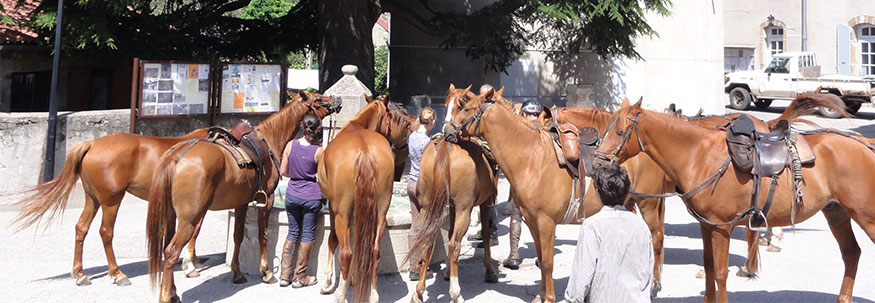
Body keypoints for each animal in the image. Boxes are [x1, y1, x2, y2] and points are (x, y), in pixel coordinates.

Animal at [145, 92, 340, 303]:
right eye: (318, 98)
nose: (337, 100)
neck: (270, 138)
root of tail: (175, 156)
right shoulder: (267, 199)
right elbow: (263, 234)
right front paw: (266, 272)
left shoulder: (241, 203)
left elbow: (238, 235)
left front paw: (237, 273)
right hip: (190, 219)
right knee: (172, 251)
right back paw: (166, 295)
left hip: (172, 215)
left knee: (167, 247)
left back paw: (172, 291)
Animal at [314, 95, 410, 303]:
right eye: (392, 117)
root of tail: (364, 152)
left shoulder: (335, 210)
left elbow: (333, 240)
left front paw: (329, 283)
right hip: (381, 212)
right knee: (374, 250)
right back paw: (373, 293)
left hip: (342, 214)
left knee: (346, 253)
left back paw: (340, 295)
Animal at [406, 85, 500, 303]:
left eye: (458, 105)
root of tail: (444, 147)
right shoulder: (483, 203)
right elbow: (484, 233)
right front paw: (490, 271)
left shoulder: (451, 207)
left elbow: (448, 234)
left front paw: (448, 272)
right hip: (465, 209)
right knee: (454, 244)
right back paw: (456, 292)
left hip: (428, 208)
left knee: (428, 242)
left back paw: (419, 291)